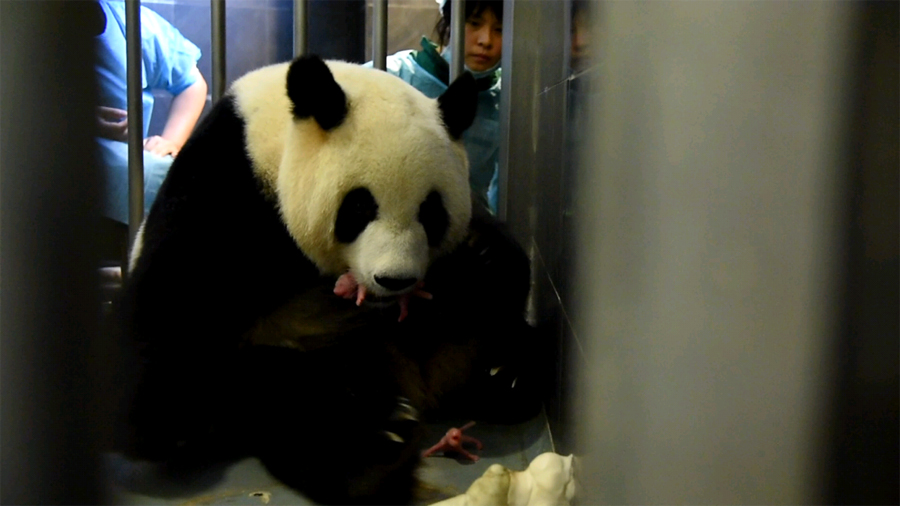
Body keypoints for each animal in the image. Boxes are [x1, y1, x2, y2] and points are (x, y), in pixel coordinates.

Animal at [118, 53, 540, 504]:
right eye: (359, 207)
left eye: (431, 211)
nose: (394, 279)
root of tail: (426, 387)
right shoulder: (220, 197)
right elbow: (154, 382)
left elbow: (500, 269)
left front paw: (482, 256)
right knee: (294, 418)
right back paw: (375, 442)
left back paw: (501, 373)